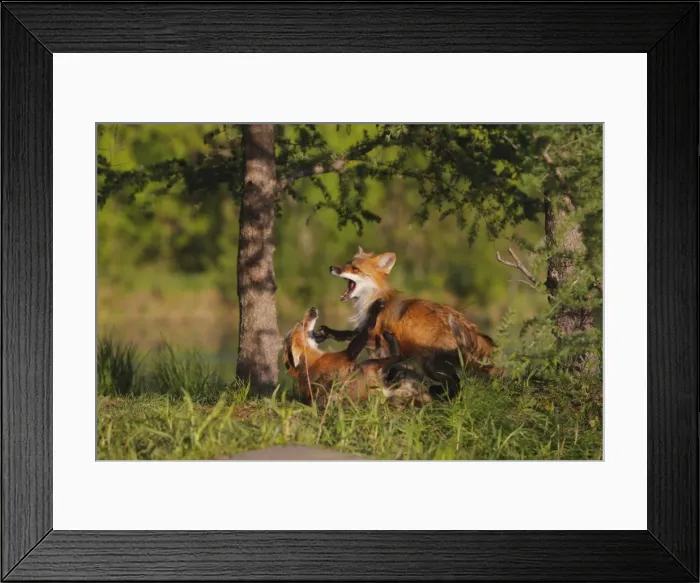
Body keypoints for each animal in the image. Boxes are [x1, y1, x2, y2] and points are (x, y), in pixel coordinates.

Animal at [282, 300, 431, 408]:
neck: (312, 361)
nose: (312, 309)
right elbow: (366, 328)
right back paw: (389, 337)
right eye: (302, 323)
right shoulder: (348, 355)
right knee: (398, 356)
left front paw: (330, 332)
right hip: (369, 364)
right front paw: (376, 308)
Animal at [316, 247, 498, 398]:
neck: (371, 301)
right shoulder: (368, 333)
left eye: (355, 269)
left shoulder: (378, 339)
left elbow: (359, 342)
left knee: (456, 383)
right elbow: (347, 334)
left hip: (431, 366)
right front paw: (325, 332)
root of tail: (469, 325)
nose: (332, 268)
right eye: (347, 264)